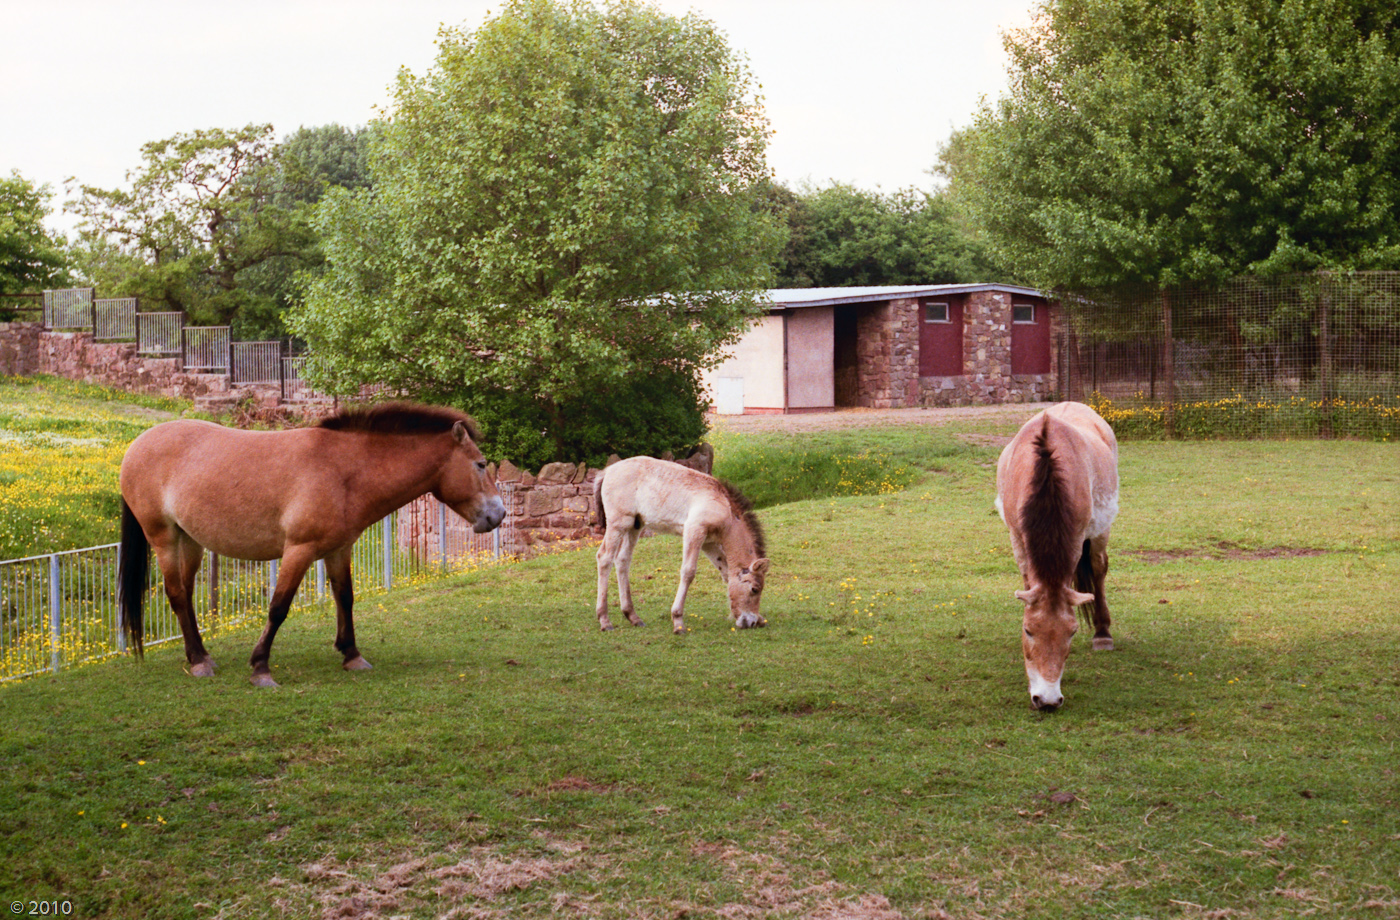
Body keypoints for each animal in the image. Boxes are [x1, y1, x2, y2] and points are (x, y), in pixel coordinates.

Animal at [117, 402, 505, 687]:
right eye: (480, 464)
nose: (499, 514)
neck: (344, 471)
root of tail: (136, 445)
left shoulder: (338, 550)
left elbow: (345, 598)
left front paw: (352, 655)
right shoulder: (299, 550)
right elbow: (278, 607)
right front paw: (261, 668)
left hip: (190, 541)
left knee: (185, 594)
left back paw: (198, 654)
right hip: (164, 538)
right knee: (176, 595)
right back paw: (199, 662)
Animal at [593, 456, 770, 634]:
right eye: (754, 589)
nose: (751, 622)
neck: (723, 505)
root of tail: (607, 472)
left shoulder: (709, 542)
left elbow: (726, 572)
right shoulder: (694, 530)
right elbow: (688, 572)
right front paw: (678, 622)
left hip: (635, 525)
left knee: (622, 560)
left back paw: (633, 616)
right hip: (618, 523)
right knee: (604, 558)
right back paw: (604, 620)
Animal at [995, 402, 1119, 711]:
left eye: (1072, 632)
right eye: (1028, 630)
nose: (1047, 699)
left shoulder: (1076, 537)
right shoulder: (1017, 537)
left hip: (1100, 532)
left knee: (1098, 570)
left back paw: (1102, 633)